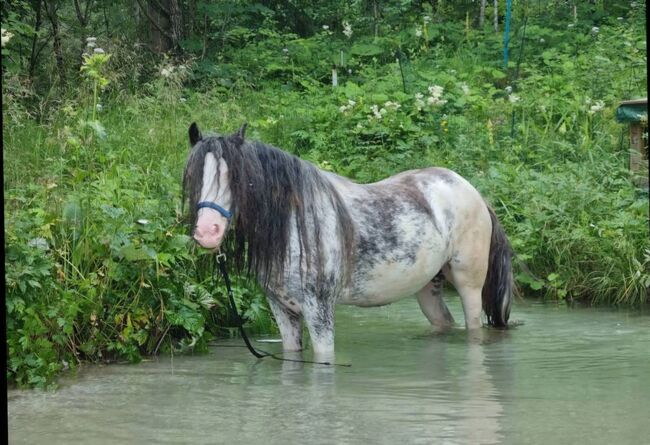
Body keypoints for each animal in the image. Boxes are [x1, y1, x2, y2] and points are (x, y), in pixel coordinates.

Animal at [182, 123, 512, 360]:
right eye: (194, 176)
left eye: (237, 178)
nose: (207, 232)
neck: (294, 225)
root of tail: (473, 192)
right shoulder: (283, 311)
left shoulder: (319, 311)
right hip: (428, 288)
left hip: (469, 285)